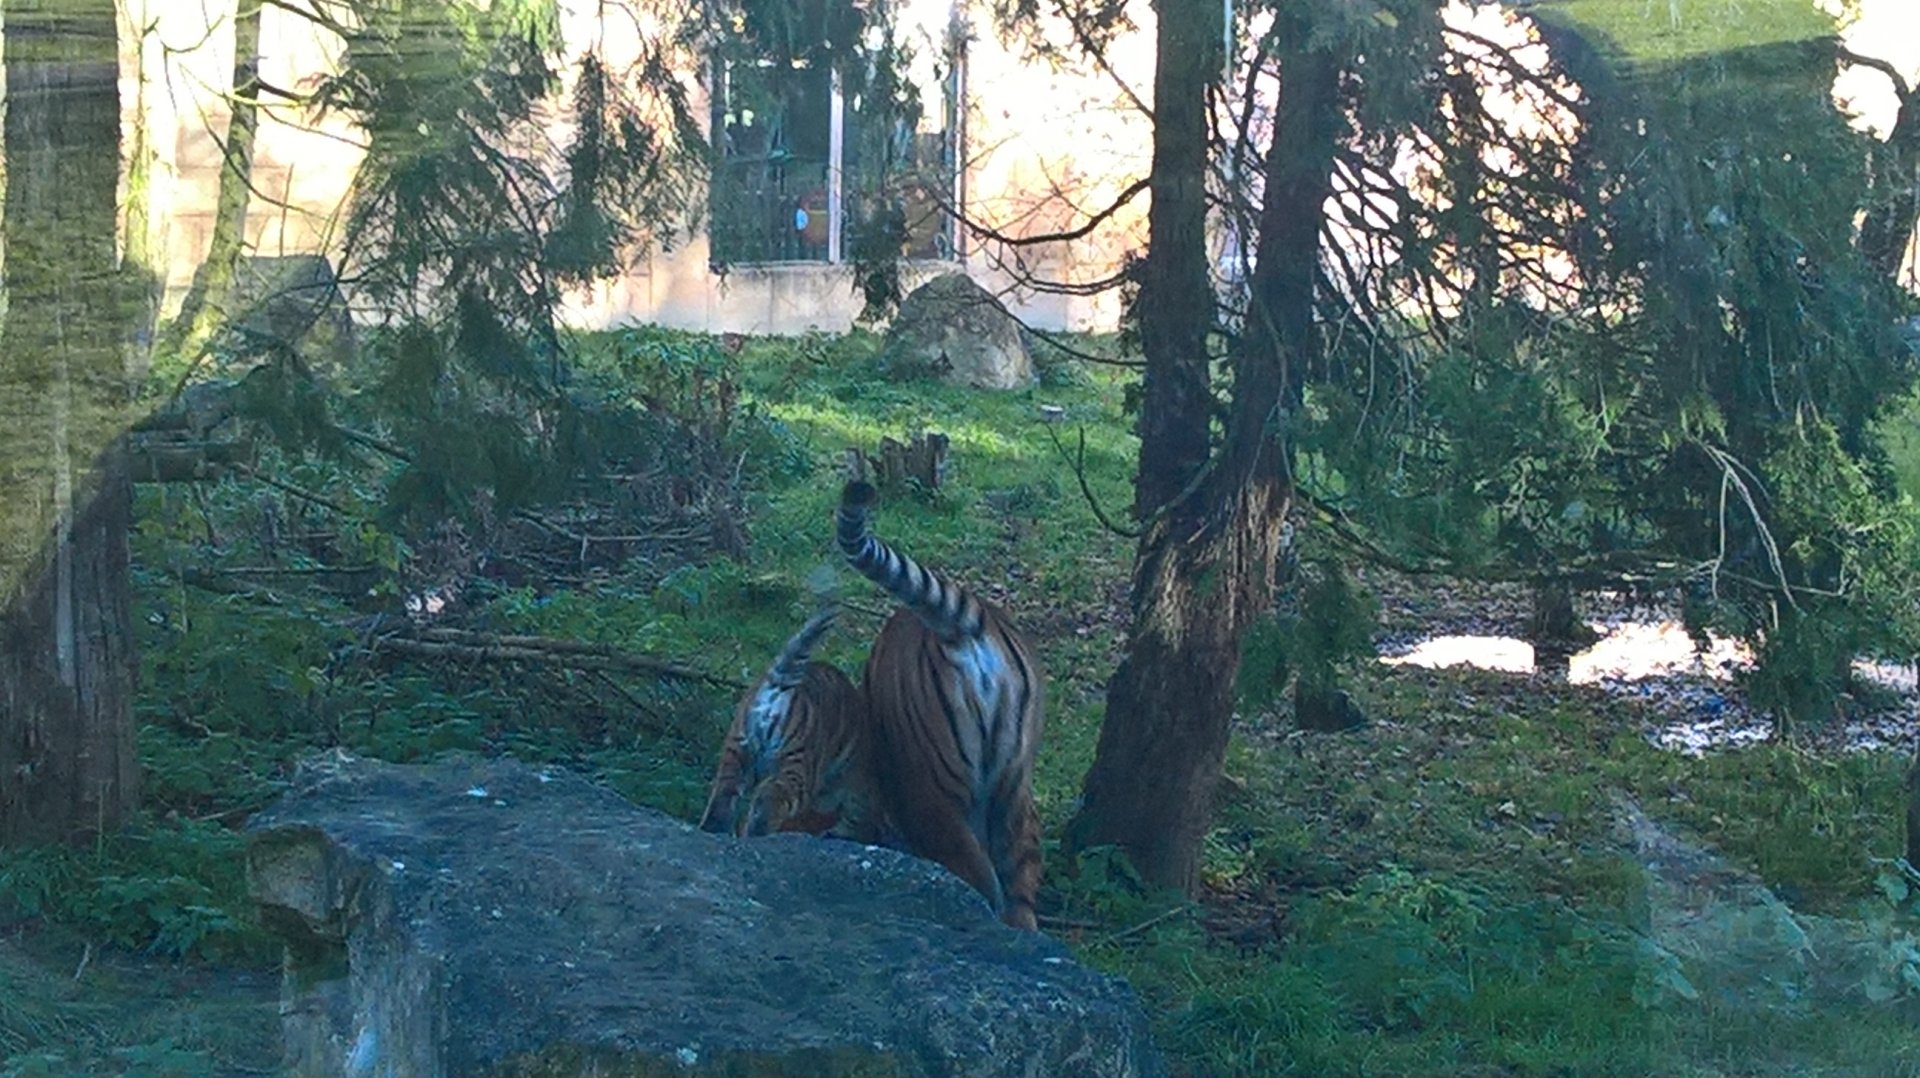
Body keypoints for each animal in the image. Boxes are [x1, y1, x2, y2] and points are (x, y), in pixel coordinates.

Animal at [697, 605, 887, 844]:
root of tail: (781, 684)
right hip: (798, 762)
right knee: (771, 795)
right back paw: (758, 833)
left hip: (737, 750)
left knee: (724, 792)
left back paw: (714, 830)